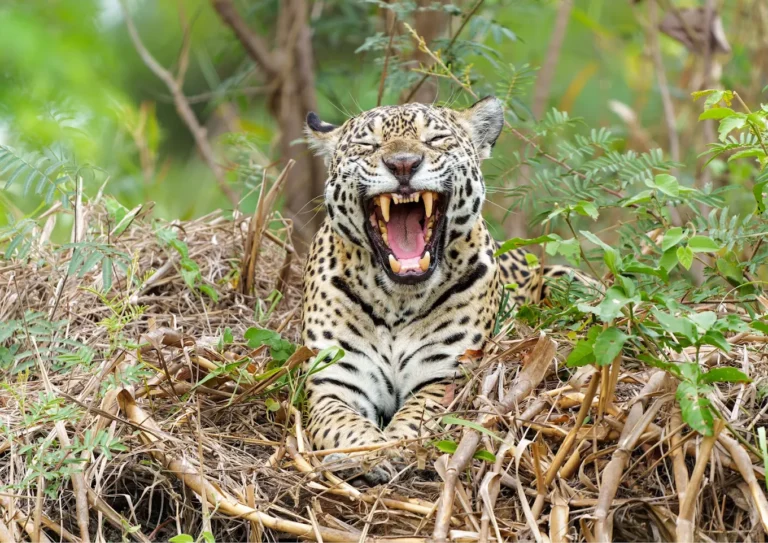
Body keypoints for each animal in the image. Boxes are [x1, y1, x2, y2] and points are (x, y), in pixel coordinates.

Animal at [301, 97, 591, 484]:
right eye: (368, 145)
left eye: (435, 139)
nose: (403, 164)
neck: (397, 301)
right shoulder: (336, 380)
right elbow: (340, 424)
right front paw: (371, 453)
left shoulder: (444, 374)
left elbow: (416, 419)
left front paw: (394, 448)